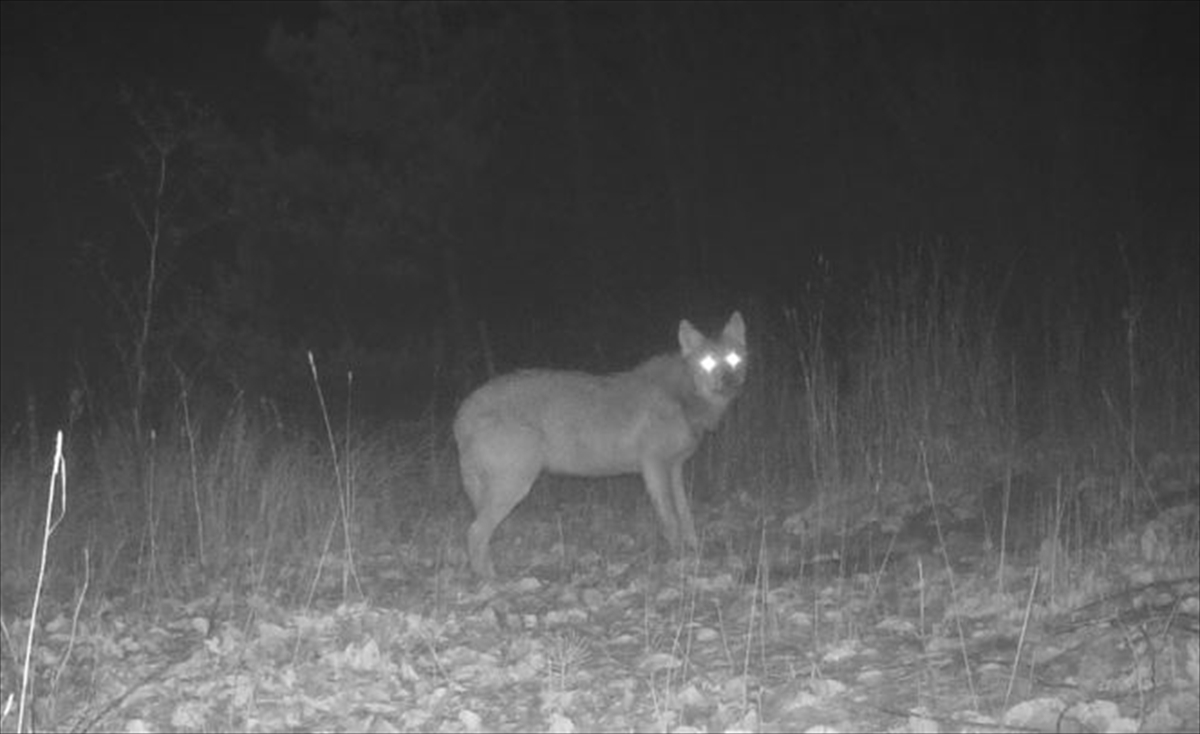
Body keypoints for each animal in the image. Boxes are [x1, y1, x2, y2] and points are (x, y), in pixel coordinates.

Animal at [453, 311, 744, 575]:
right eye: (707, 361)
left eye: (733, 358)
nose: (729, 380)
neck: (683, 398)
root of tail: (463, 412)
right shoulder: (654, 467)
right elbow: (670, 518)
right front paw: (678, 558)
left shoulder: (675, 469)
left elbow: (685, 514)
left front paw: (693, 549)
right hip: (516, 485)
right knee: (474, 532)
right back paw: (489, 579)